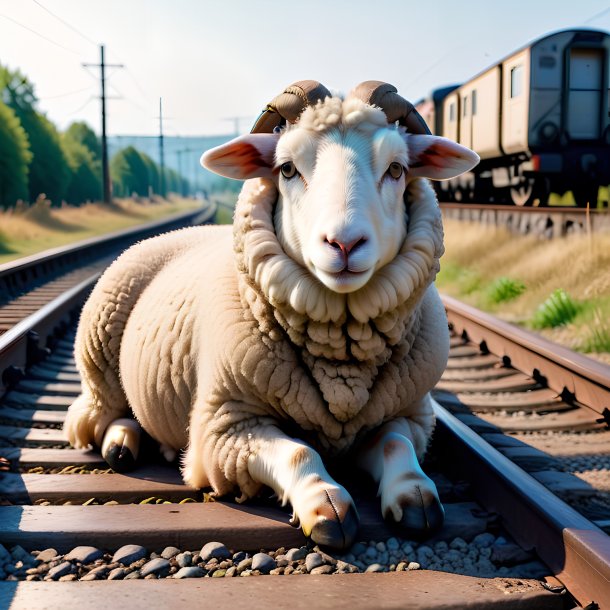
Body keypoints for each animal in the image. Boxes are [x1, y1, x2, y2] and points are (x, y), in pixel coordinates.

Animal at [64, 78, 478, 548]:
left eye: (396, 169)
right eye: (286, 169)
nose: (344, 243)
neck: (343, 370)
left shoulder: (408, 415)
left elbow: (396, 447)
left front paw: (414, 495)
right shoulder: (225, 428)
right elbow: (298, 450)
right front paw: (325, 505)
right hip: (98, 355)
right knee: (99, 412)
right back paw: (121, 443)